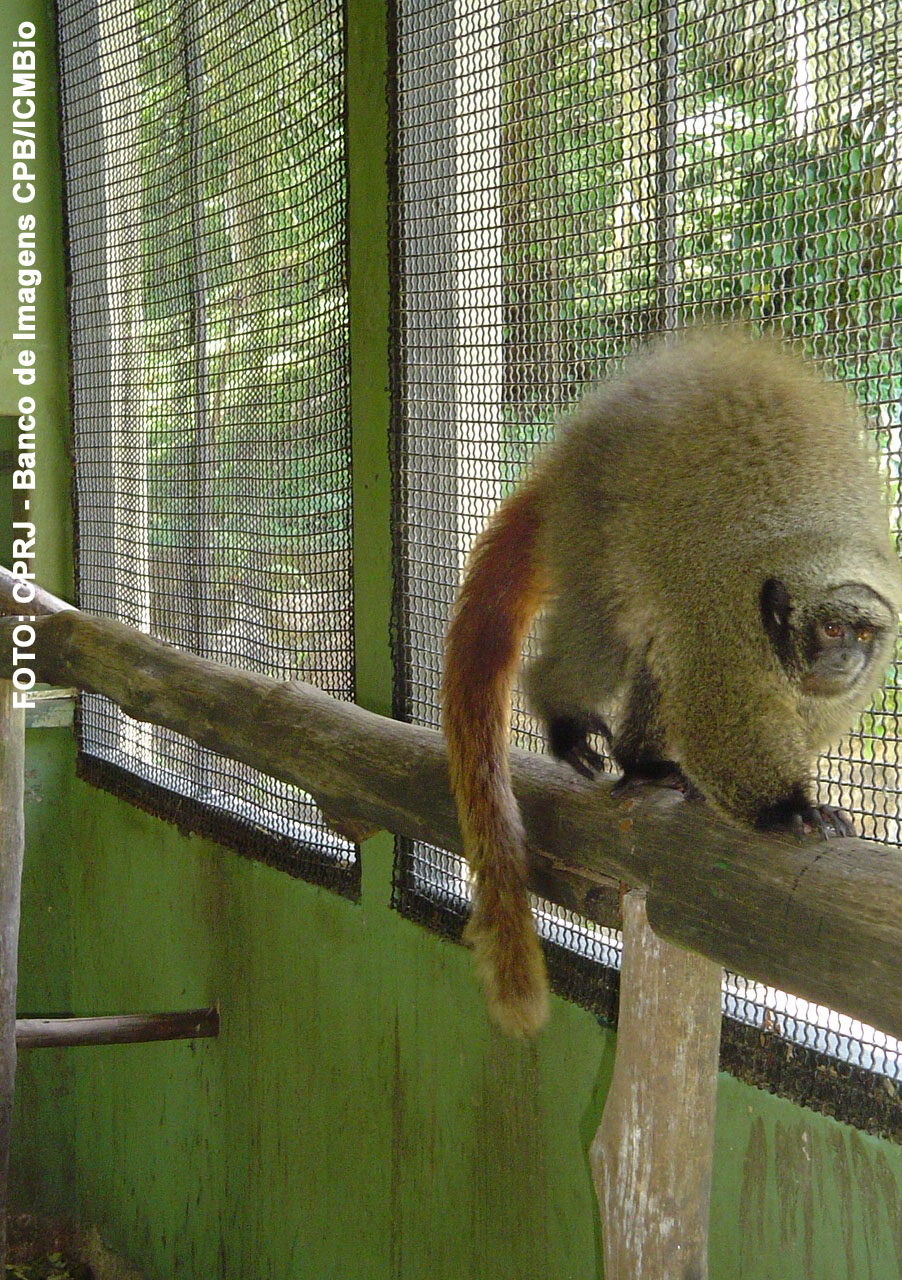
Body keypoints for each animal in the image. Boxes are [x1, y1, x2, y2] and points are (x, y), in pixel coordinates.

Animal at [442, 325, 900, 1034]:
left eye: (860, 634)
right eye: (829, 629)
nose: (843, 660)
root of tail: (568, 454)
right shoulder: (728, 614)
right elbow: (718, 715)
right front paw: (788, 808)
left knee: (655, 645)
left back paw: (641, 760)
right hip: (590, 514)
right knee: (607, 629)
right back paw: (562, 712)